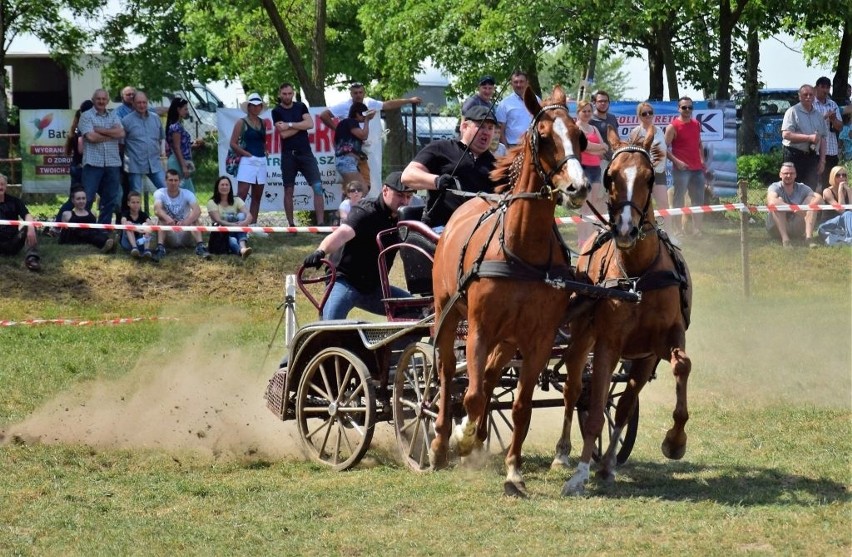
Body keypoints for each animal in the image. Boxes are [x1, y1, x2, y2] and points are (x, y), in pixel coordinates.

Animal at [430, 86, 588, 496]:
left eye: (581, 137)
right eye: (544, 136)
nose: (578, 187)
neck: (520, 248)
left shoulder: (539, 337)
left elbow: (521, 405)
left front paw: (513, 471)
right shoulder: (479, 329)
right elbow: (469, 395)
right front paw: (462, 437)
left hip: (507, 337)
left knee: (488, 376)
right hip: (446, 314)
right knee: (447, 374)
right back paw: (441, 443)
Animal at [560, 130, 692, 496]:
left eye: (649, 177)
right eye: (610, 177)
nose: (625, 230)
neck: (637, 277)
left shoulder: (664, 342)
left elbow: (681, 367)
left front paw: (675, 441)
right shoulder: (607, 345)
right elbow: (593, 411)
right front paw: (580, 475)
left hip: (641, 359)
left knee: (622, 404)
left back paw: (606, 462)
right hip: (581, 340)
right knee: (573, 389)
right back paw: (562, 453)